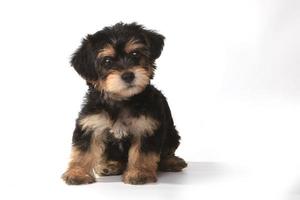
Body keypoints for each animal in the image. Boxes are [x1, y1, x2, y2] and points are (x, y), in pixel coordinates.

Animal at [62, 22, 186, 185]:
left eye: (135, 54)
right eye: (107, 61)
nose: (128, 75)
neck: (121, 100)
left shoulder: (147, 126)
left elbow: (142, 153)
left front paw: (139, 173)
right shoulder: (90, 123)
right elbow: (83, 151)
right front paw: (77, 173)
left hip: (172, 134)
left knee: (167, 151)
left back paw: (172, 162)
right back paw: (110, 166)